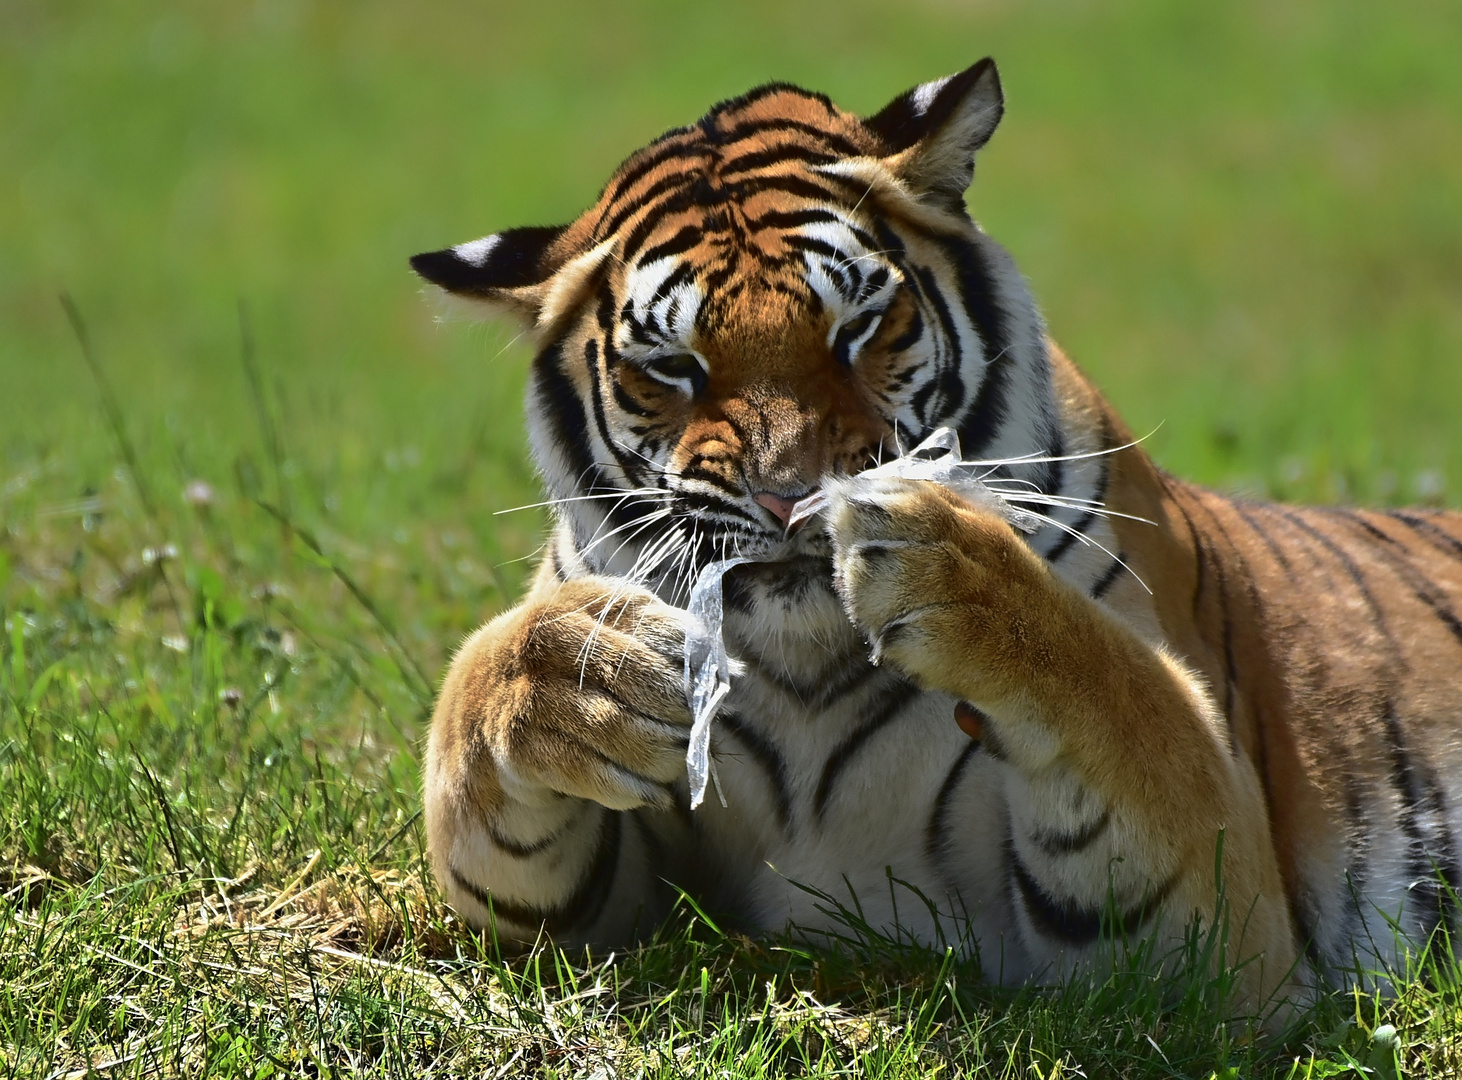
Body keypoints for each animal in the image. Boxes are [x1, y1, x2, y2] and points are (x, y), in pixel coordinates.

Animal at [409, 59, 1462, 1011]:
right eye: (673, 366)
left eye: (860, 326)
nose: (789, 498)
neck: (805, 671)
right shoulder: (598, 910)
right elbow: (475, 723)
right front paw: (586, 665)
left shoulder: (1213, 941)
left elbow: (1123, 689)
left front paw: (947, 563)